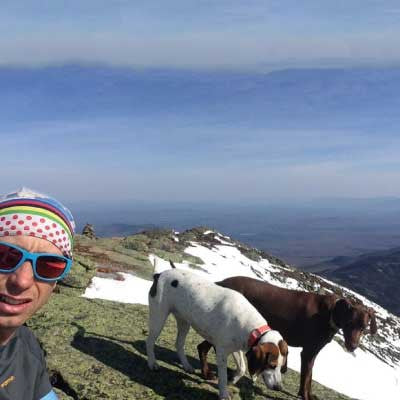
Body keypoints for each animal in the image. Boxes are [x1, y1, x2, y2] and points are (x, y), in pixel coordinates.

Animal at [146, 266, 288, 400]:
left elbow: (242, 368)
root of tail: (160, 274)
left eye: (281, 367)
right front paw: (224, 393)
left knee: (179, 344)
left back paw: (186, 365)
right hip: (158, 317)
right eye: (272, 365)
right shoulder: (221, 352)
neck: (251, 327)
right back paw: (152, 363)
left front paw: (233, 379)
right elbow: (223, 376)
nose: (279, 388)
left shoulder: (235, 347)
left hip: (184, 322)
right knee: (150, 341)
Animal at [198, 276, 376, 400]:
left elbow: (309, 377)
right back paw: (208, 373)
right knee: (204, 347)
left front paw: (307, 394)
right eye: (349, 323)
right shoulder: (307, 352)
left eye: (364, 327)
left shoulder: (313, 353)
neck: (330, 313)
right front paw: (305, 396)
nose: (352, 346)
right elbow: (306, 378)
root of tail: (221, 281)